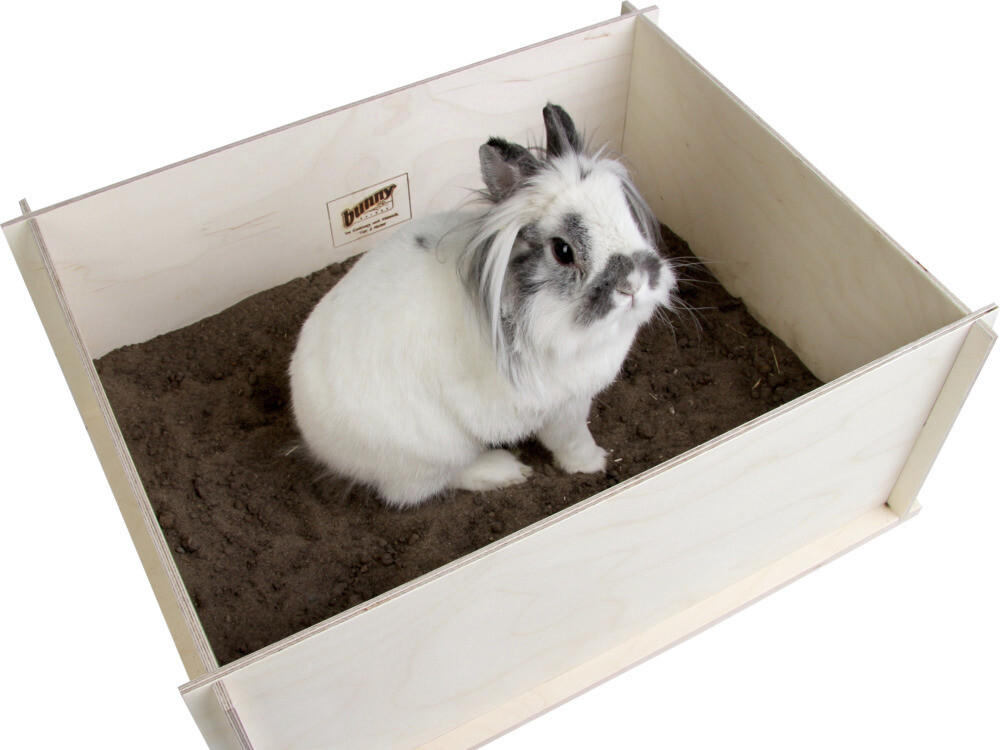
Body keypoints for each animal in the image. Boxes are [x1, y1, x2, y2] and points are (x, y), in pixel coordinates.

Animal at [289, 103, 678, 507]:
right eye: (563, 250)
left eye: (625, 212)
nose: (634, 283)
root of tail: (313, 433)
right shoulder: (563, 408)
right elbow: (572, 440)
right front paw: (594, 463)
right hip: (433, 453)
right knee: (428, 485)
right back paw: (505, 470)